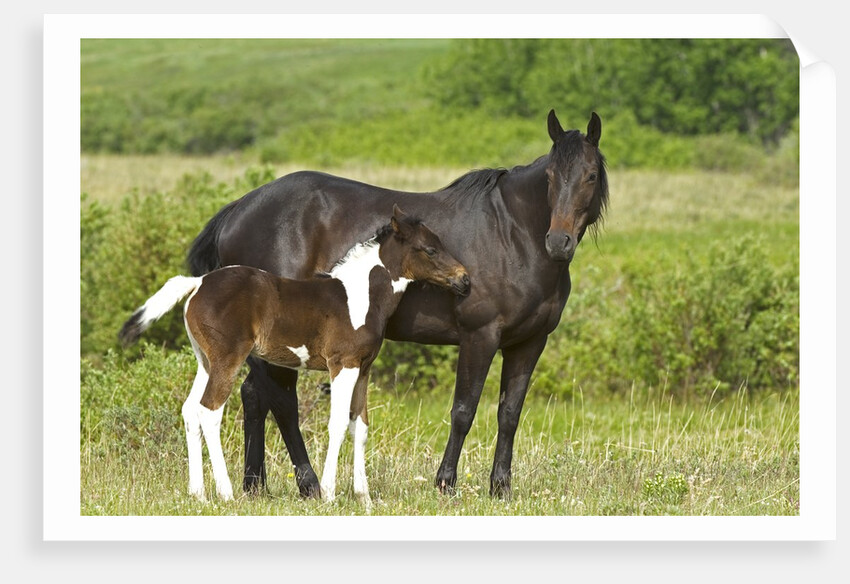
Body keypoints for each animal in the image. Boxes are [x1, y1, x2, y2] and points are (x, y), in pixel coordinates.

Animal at [120, 205, 470, 506]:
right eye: (430, 249)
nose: (465, 280)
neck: (361, 296)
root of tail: (199, 282)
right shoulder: (342, 365)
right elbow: (338, 423)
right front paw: (329, 494)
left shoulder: (363, 368)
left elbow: (360, 426)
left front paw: (365, 498)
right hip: (226, 360)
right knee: (209, 411)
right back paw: (226, 493)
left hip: (205, 362)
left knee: (190, 410)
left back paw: (198, 495)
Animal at [187, 109, 608, 499]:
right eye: (550, 177)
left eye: (590, 176)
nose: (558, 242)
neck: (513, 236)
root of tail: (239, 209)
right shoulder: (480, 337)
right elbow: (463, 410)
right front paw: (446, 482)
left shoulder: (529, 343)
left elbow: (509, 414)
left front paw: (500, 488)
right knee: (282, 402)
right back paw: (308, 484)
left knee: (254, 395)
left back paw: (255, 484)